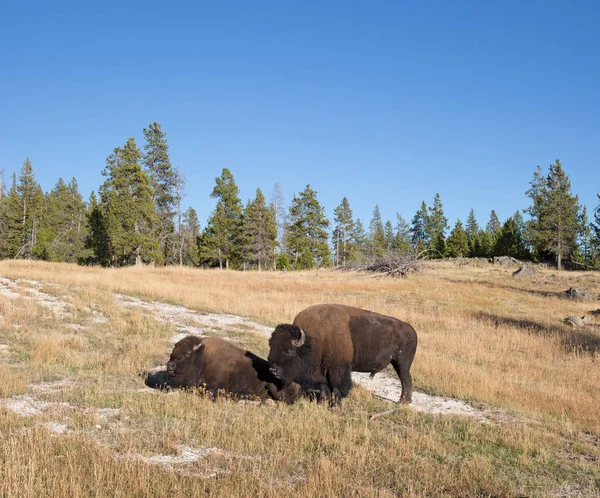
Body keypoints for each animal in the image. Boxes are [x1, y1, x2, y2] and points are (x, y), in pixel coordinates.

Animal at [152, 336, 302, 402]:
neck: (203, 357)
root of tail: (298, 385)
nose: (170, 365)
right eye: (173, 351)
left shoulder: (213, 387)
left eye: (187, 353)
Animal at [268, 304, 418, 404]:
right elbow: (324, 387)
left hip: (402, 363)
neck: (312, 341)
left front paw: (335, 405)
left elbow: (337, 387)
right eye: (271, 346)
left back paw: (403, 401)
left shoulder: (338, 369)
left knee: (406, 379)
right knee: (405, 379)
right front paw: (321, 403)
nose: (272, 370)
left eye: (289, 351)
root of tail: (412, 330)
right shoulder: (322, 372)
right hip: (397, 362)